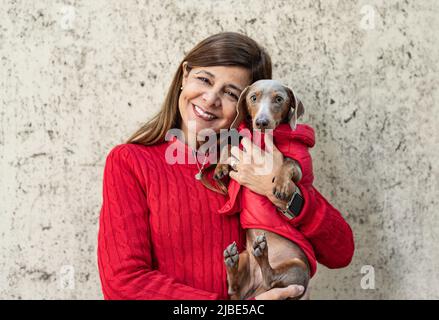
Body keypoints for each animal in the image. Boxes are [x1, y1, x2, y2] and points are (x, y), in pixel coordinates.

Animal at [213, 79, 310, 298]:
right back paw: (231, 261)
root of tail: (257, 288)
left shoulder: (299, 166)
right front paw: (221, 166)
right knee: (234, 289)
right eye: (253, 97)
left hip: (298, 267)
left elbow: (288, 162)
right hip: (245, 258)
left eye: (279, 99)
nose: (262, 122)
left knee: (270, 276)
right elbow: (229, 147)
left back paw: (261, 252)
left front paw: (281, 184)